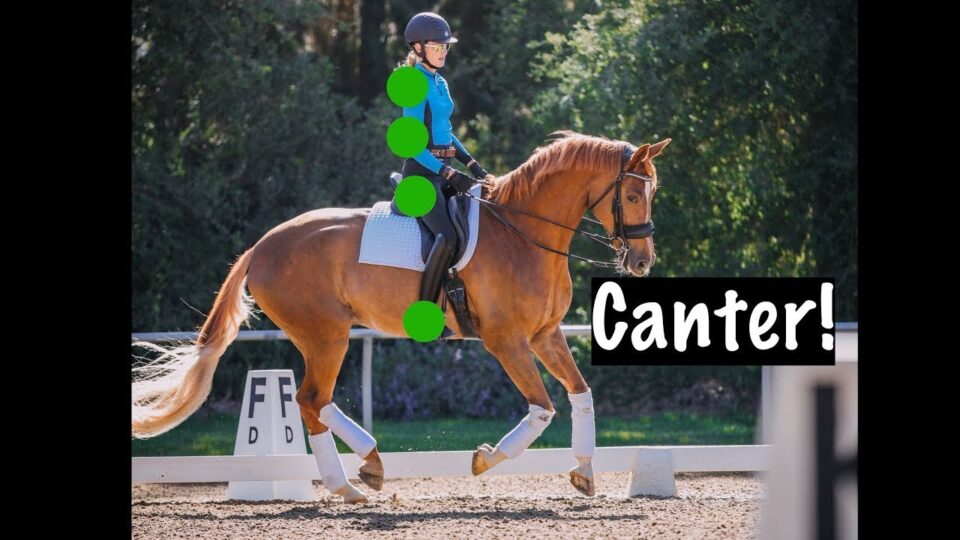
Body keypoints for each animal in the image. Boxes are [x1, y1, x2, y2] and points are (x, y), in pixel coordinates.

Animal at [132, 130, 671, 503]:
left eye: (653, 194)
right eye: (630, 195)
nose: (642, 262)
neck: (523, 233)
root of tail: (261, 246)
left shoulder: (544, 335)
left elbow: (581, 394)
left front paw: (584, 473)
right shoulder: (507, 341)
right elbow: (541, 409)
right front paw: (485, 460)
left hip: (322, 337)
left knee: (314, 403)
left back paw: (359, 476)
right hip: (326, 335)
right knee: (310, 400)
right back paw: (357, 476)